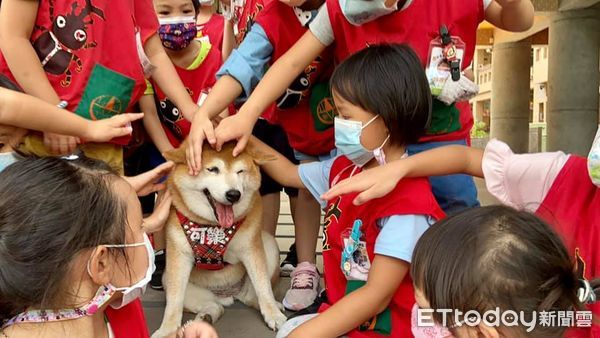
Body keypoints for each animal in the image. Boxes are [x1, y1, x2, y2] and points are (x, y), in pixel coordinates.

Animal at [154, 141, 288, 336]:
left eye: (240, 171)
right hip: (177, 283)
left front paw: (274, 315)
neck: (211, 226)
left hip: (269, 244)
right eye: (213, 169)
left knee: (251, 297)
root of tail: (228, 295)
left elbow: (264, 288)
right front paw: (167, 330)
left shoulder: (251, 249)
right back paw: (205, 318)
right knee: (215, 306)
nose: (234, 194)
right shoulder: (178, 255)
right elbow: (174, 301)